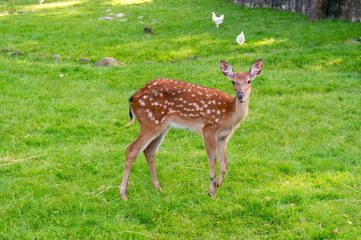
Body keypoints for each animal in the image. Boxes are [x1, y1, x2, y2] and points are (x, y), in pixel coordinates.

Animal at [119, 58, 262, 201]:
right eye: (233, 81)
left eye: (249, 81)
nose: (240, 95)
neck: (230, 114)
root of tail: (132, 99)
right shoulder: (209, 129)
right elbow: (212, 159)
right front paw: (211, 192)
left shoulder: (224, 135)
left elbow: (224, 162)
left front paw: (218, 184)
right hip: (150, 122)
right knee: (131, 149)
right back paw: (123, 194)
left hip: (162, 126)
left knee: (149, 151)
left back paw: (157, 187)